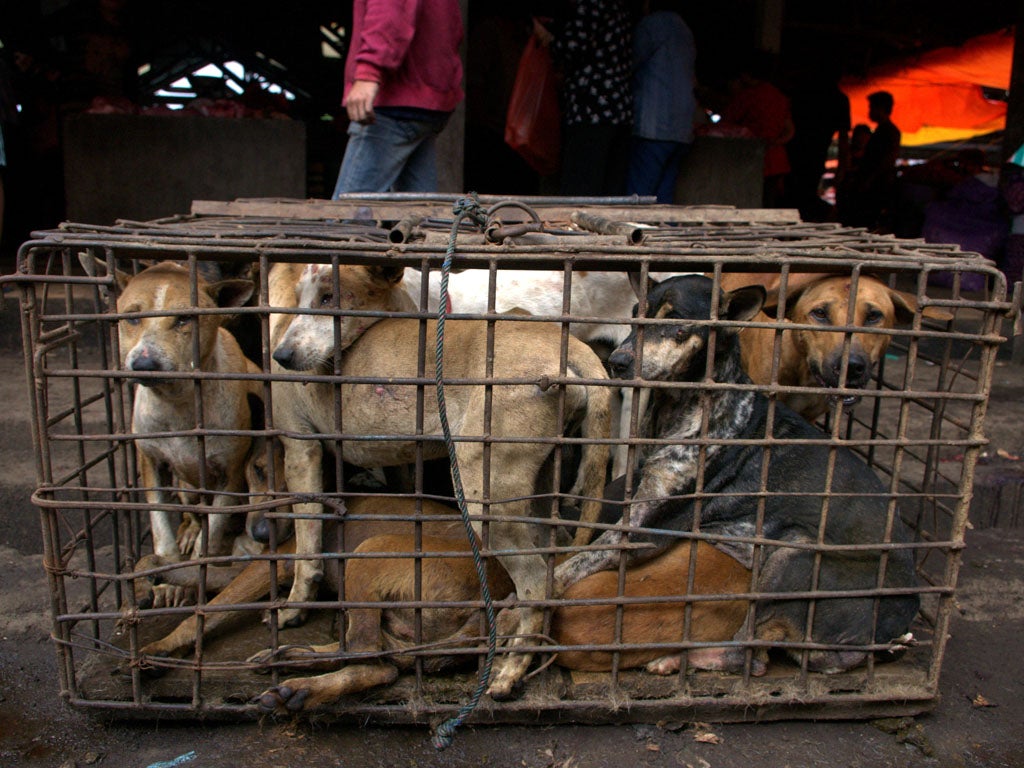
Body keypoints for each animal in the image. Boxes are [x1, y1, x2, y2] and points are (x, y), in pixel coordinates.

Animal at [140, 495, 749, 712]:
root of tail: (491, 600)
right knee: (376, 655)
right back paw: (294, 664)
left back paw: (300, 685)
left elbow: (207, 608)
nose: (263, 529)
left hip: (370, 555)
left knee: (374, 661)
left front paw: (159, 646)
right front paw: (157, 579)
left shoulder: (271, 563)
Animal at [552, 274, 921, 671]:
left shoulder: (642, 529)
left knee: (751, 653)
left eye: (676, 321)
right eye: (637, 316)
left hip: (793, 557)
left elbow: (571, 566)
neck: (683, 406)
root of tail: (904, 613)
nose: (617, 362)